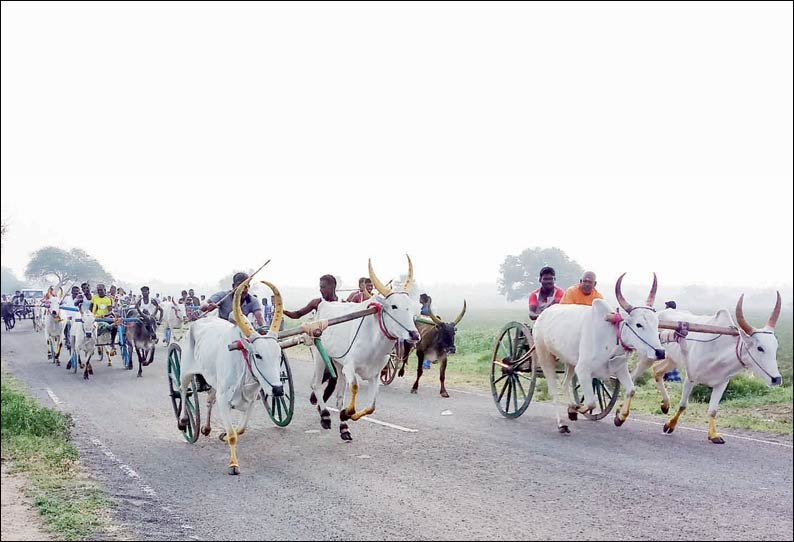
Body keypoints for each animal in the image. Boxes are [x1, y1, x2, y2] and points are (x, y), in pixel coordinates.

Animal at [176, 280, 282, 476]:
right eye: (258, 355)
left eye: (279, 355)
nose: (278, 389)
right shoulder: (224, 399)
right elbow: (233, 435)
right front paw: (233, 465)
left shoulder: (251, 401)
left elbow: (239, 430)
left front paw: (223, 435)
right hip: (185, 372)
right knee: (182, 391)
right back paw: (183, 421)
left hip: (213, 381)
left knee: (209, 399)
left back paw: (206, 427)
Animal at [308, 258, 420, 442]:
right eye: (394, 306)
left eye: (410, 306)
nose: (414, 334)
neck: (375, 343)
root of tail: (323, 304)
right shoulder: (350, 367)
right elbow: (354, 388)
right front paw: (347, 413)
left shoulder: (375, 374)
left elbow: (371, 407)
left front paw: (347, 416)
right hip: (319, 356)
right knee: (316, 385)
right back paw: (325, 416)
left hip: (338, 363)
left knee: (339, 396)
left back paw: (344, 428)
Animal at [528, 274, 664, 436]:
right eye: (639, 324)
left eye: (657, 323)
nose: (660, 352)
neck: (612, 337)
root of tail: (543, 314)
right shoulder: (583, 370)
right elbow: (591, 402)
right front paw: (577, 408)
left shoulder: (620, 369)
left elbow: (631, 390)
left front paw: (619, 417)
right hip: (544, 354)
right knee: (554, 389)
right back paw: (562, 423)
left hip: (570, 362)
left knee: (565, 383)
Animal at [632, 292, 780, 444]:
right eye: (760, 348)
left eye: (775, 347)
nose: (777, 379)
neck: (719, 352)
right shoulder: (690, 378)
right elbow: (683, 405)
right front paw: (670, 425)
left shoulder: (722, 384)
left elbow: (713, 410)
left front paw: (713, 435)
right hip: (648, 356)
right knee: (634, 375)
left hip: (672, 359)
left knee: (657, 371)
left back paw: (665, 405)